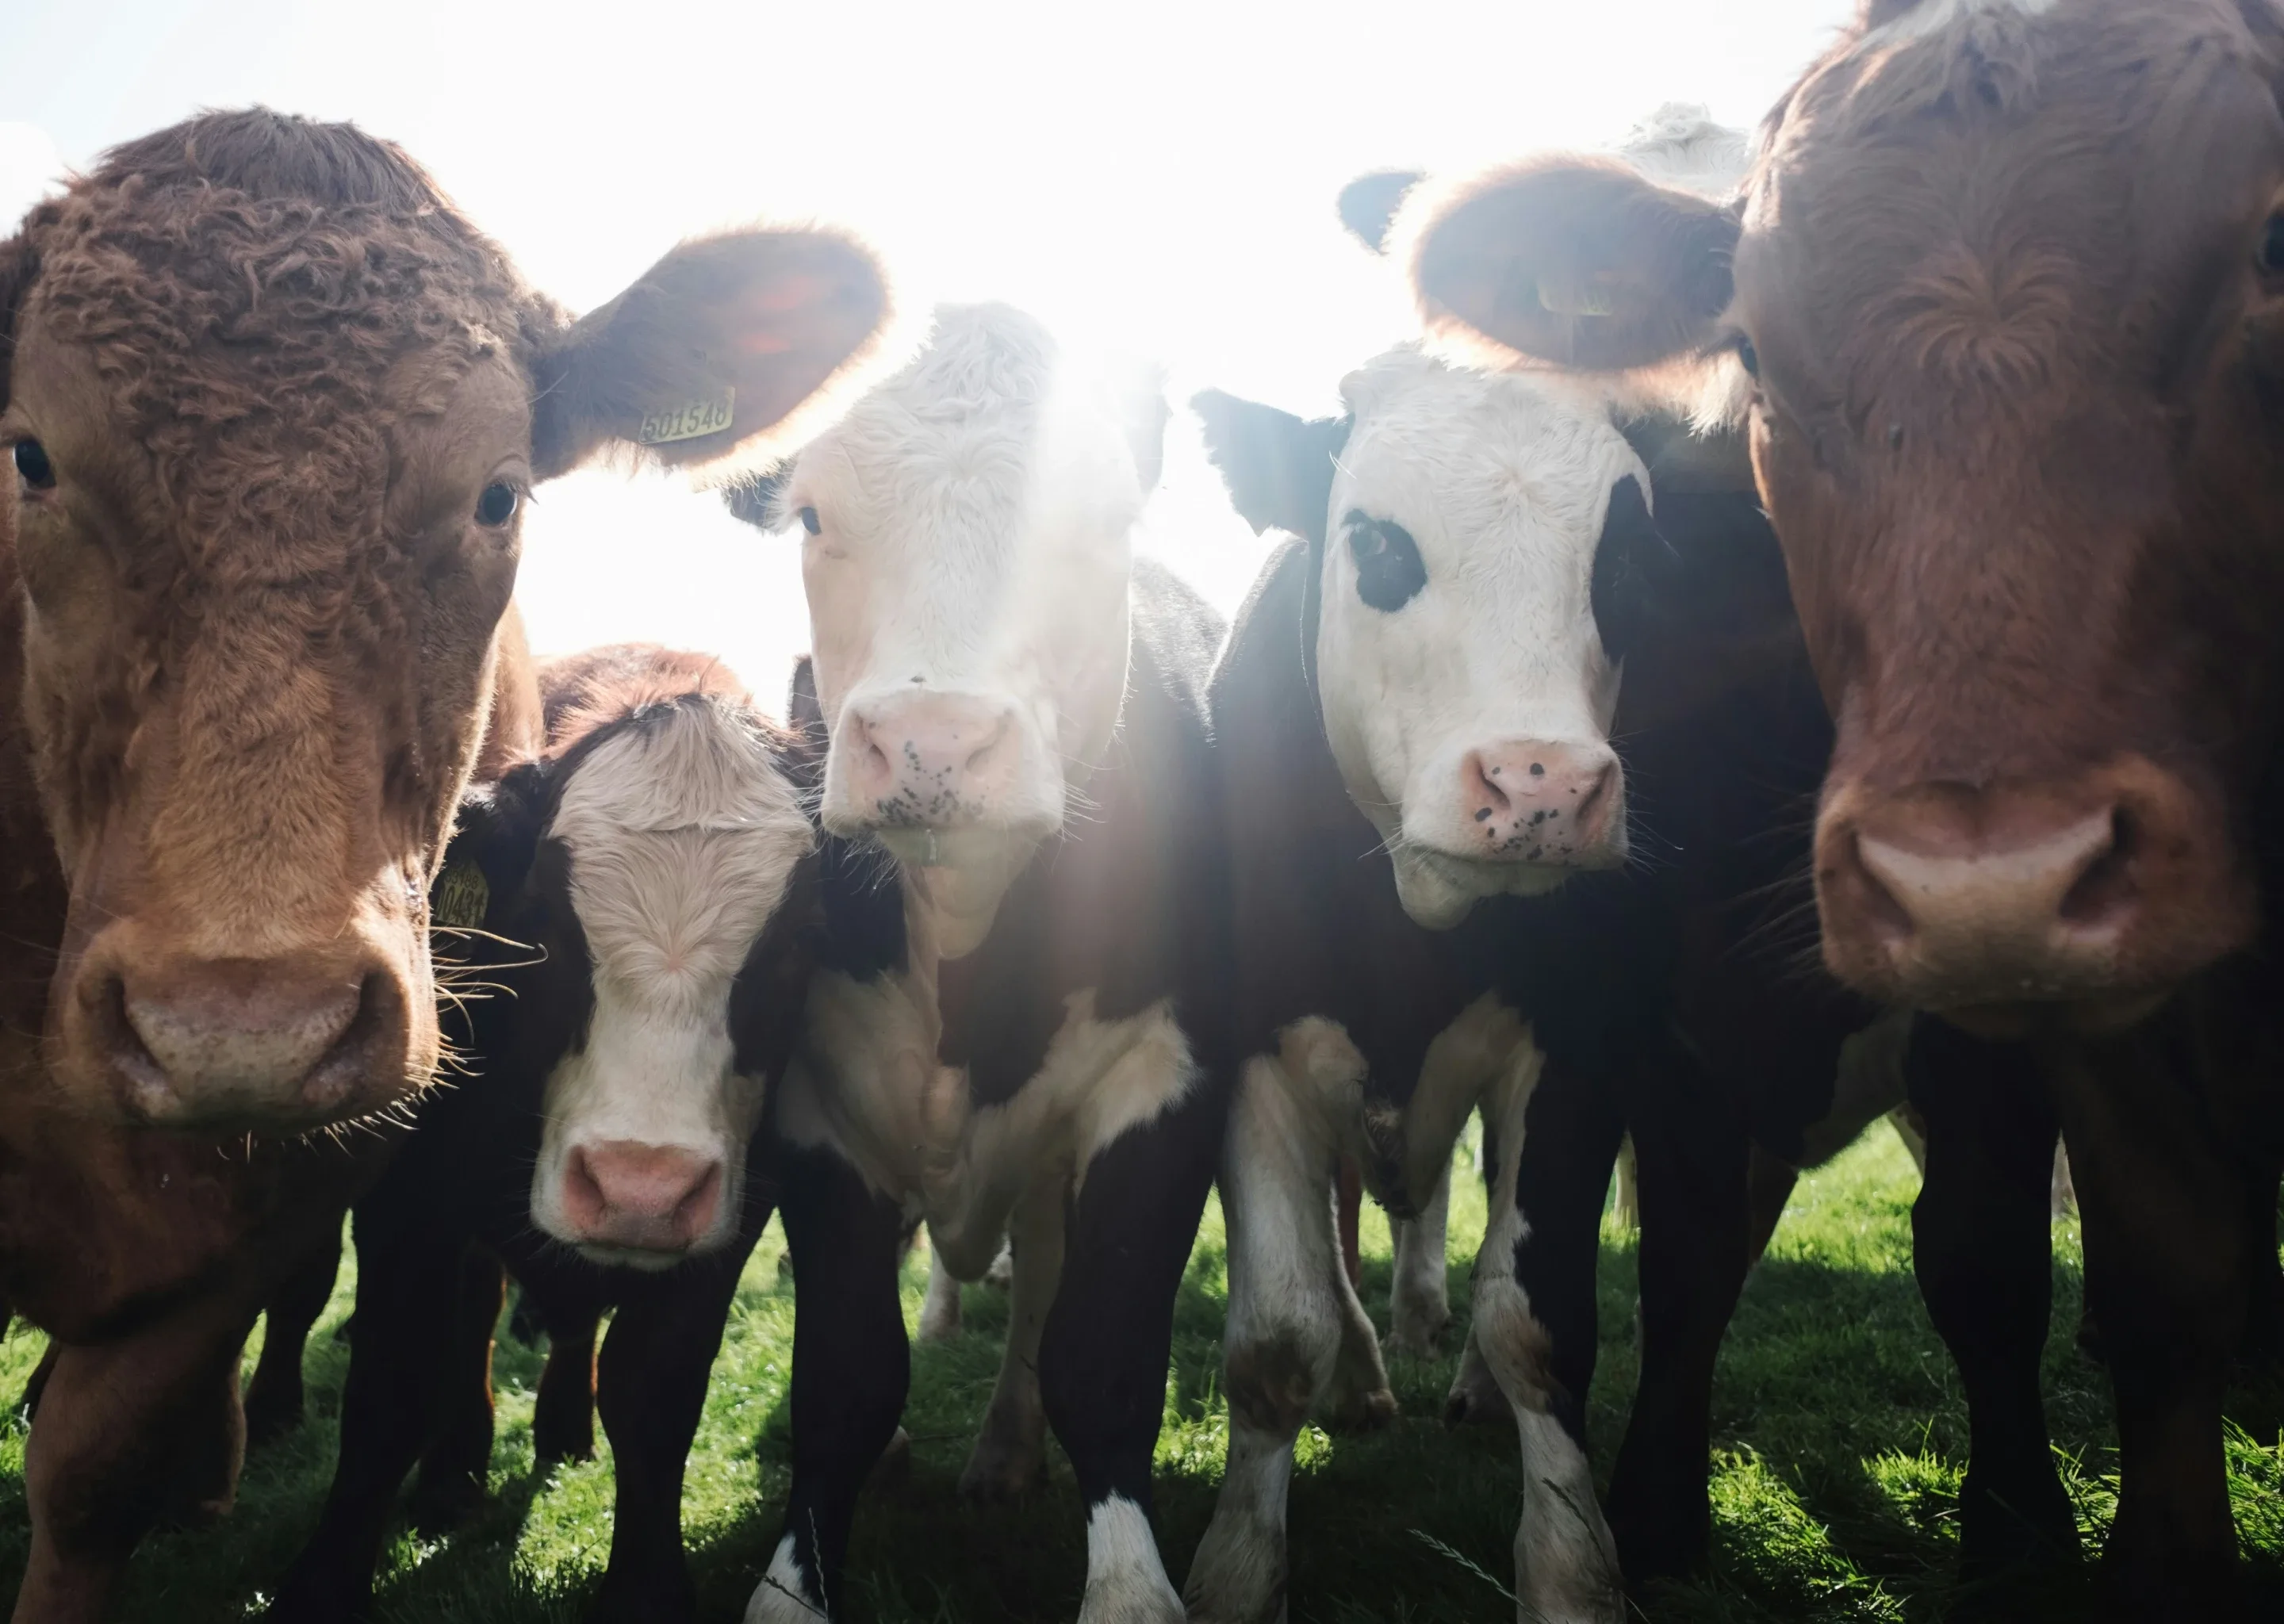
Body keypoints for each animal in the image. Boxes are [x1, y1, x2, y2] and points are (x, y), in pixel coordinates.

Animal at [724, 302, 1229, 1624]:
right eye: (811, 516)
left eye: (1103, 518)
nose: (933, 743)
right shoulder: (820, 1112)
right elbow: (844, 1378)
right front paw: (791, 1583)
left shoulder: (1163, 1084)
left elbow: (1100, 1354)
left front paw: (1129, 1587)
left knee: (1042, 1286)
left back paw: (1004, 1451)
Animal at [1181, 106, 1901, 1624]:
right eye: (1376, 544)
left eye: (1625, 562)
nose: (1543, 786)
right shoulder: (1254, 1043)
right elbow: (1274, 1337)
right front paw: (1235, 1566)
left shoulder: (1581, 1046)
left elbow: (1540, 1323)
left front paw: (1573, 1563)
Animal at [1398, 3, 2284, 1612]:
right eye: (1746, 334)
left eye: (2274, 243)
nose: (1987, 875)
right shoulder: (1668, 1008)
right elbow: (1689, 1255)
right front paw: (1657, 1509)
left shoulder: (1993, 1025)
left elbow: (1987, 1255)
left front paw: (2017, 1523)